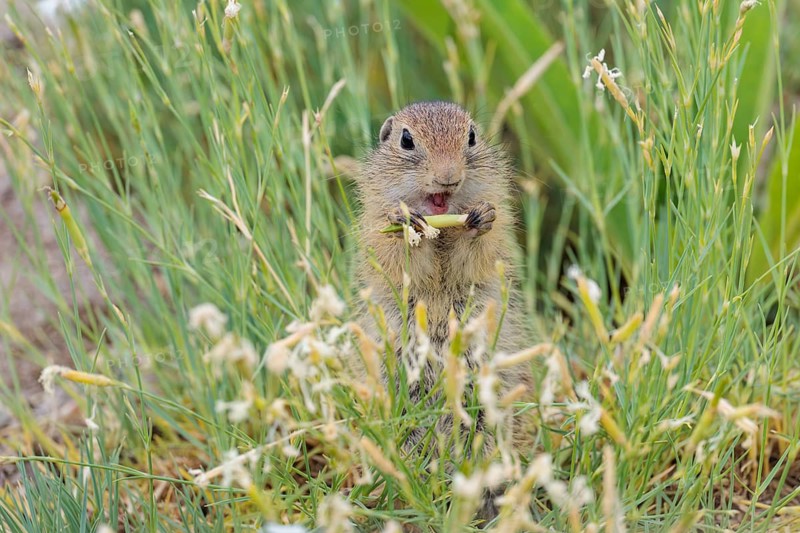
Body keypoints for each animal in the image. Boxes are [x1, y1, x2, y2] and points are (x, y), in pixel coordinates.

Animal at [354, 101, 533, 458]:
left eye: (472, 136)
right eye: (406, 140)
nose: (448, 177)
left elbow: (473, 257)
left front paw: (481, 218)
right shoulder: (376, 225)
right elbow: (402, 259)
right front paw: (405, 223)